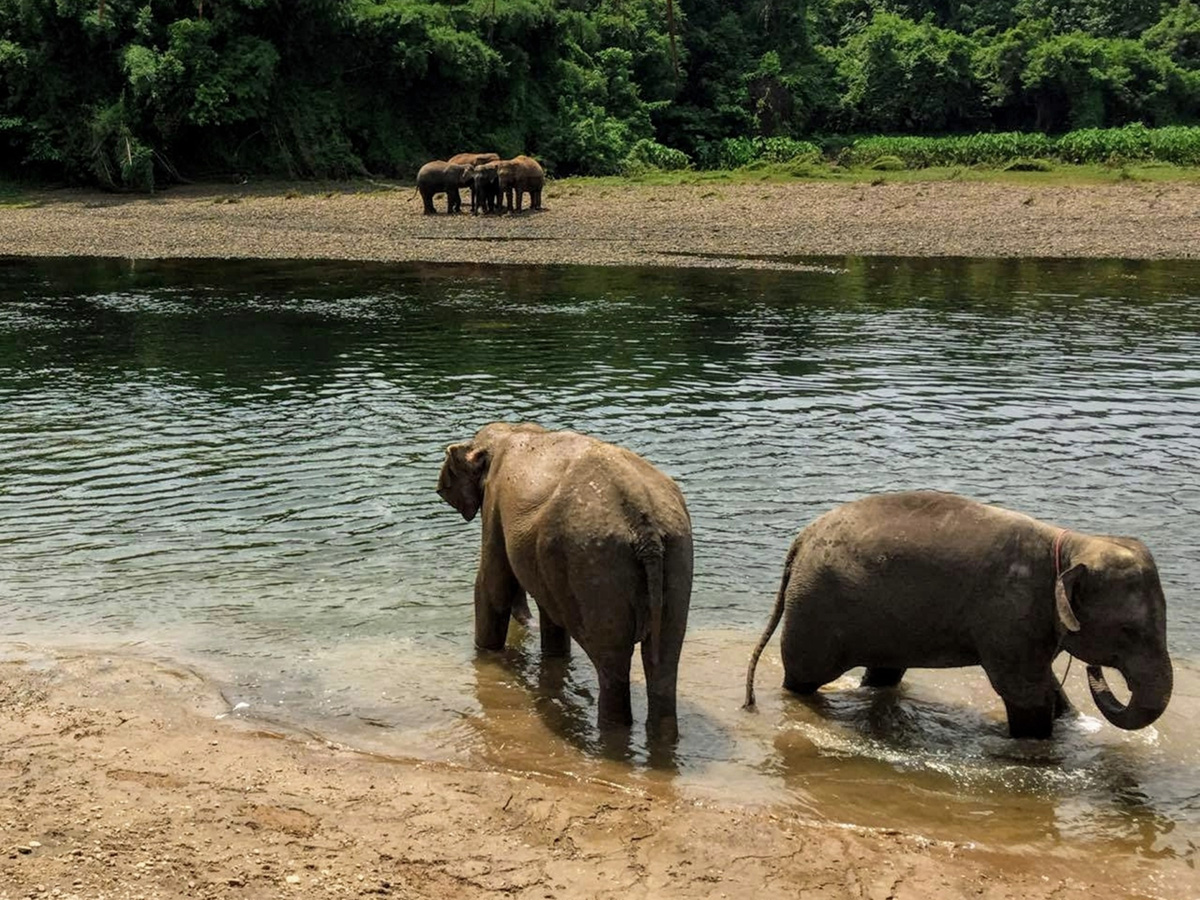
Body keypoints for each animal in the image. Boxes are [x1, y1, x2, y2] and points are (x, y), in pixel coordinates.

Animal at [437, 422, 693, 735]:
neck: (512, 429)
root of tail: (643, 521)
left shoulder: (494, 503)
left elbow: (492, 585)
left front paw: (486, 654)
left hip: (594, 562)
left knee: (612, 665)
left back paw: (610, 729)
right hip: (675, 555)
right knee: (664, 664)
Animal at [744, 491, 1173, 740]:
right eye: (1129, 630)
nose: (1095, 670)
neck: (1070, 545)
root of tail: (801, 540)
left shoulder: (1029, 624)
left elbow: (1045, 683)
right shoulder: (1009, 613)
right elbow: (1025, 692)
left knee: (884, 672)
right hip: (815, 609)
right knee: (803, 678)